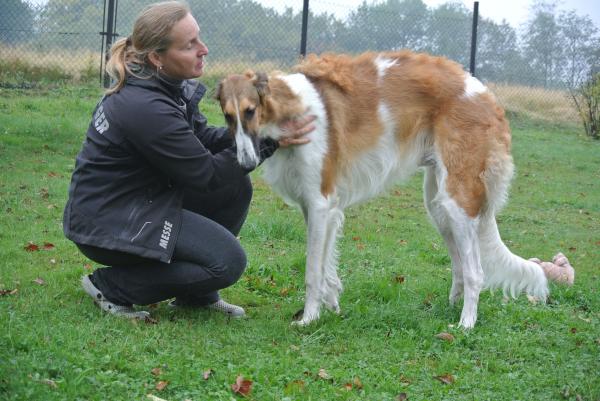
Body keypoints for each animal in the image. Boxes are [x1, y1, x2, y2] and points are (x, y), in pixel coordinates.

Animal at [215, 50, 549, 328]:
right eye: (228, 116)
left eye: (250, 111)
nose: (246, 163)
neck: (290, 108)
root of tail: (486, 95)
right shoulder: (317, 209)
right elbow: (326, 267)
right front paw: (331, 304)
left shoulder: (320, 203)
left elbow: (312, 271)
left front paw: (308, 318)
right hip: (438, 205)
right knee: (458, 266)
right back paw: (452, 309)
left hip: (457, 200)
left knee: (475, 272)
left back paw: (465, 324)